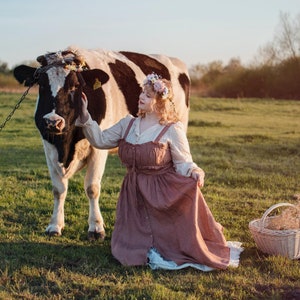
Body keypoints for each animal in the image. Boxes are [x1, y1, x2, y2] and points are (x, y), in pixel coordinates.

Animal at [13, 45, 190, 241]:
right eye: (42, 85)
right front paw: (55, 225)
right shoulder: (49, 147)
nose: (53, 122)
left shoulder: (97, 151)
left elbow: (92, 187)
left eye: (75, 86)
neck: (67, 145)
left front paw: (96, 227)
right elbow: (58, 189)